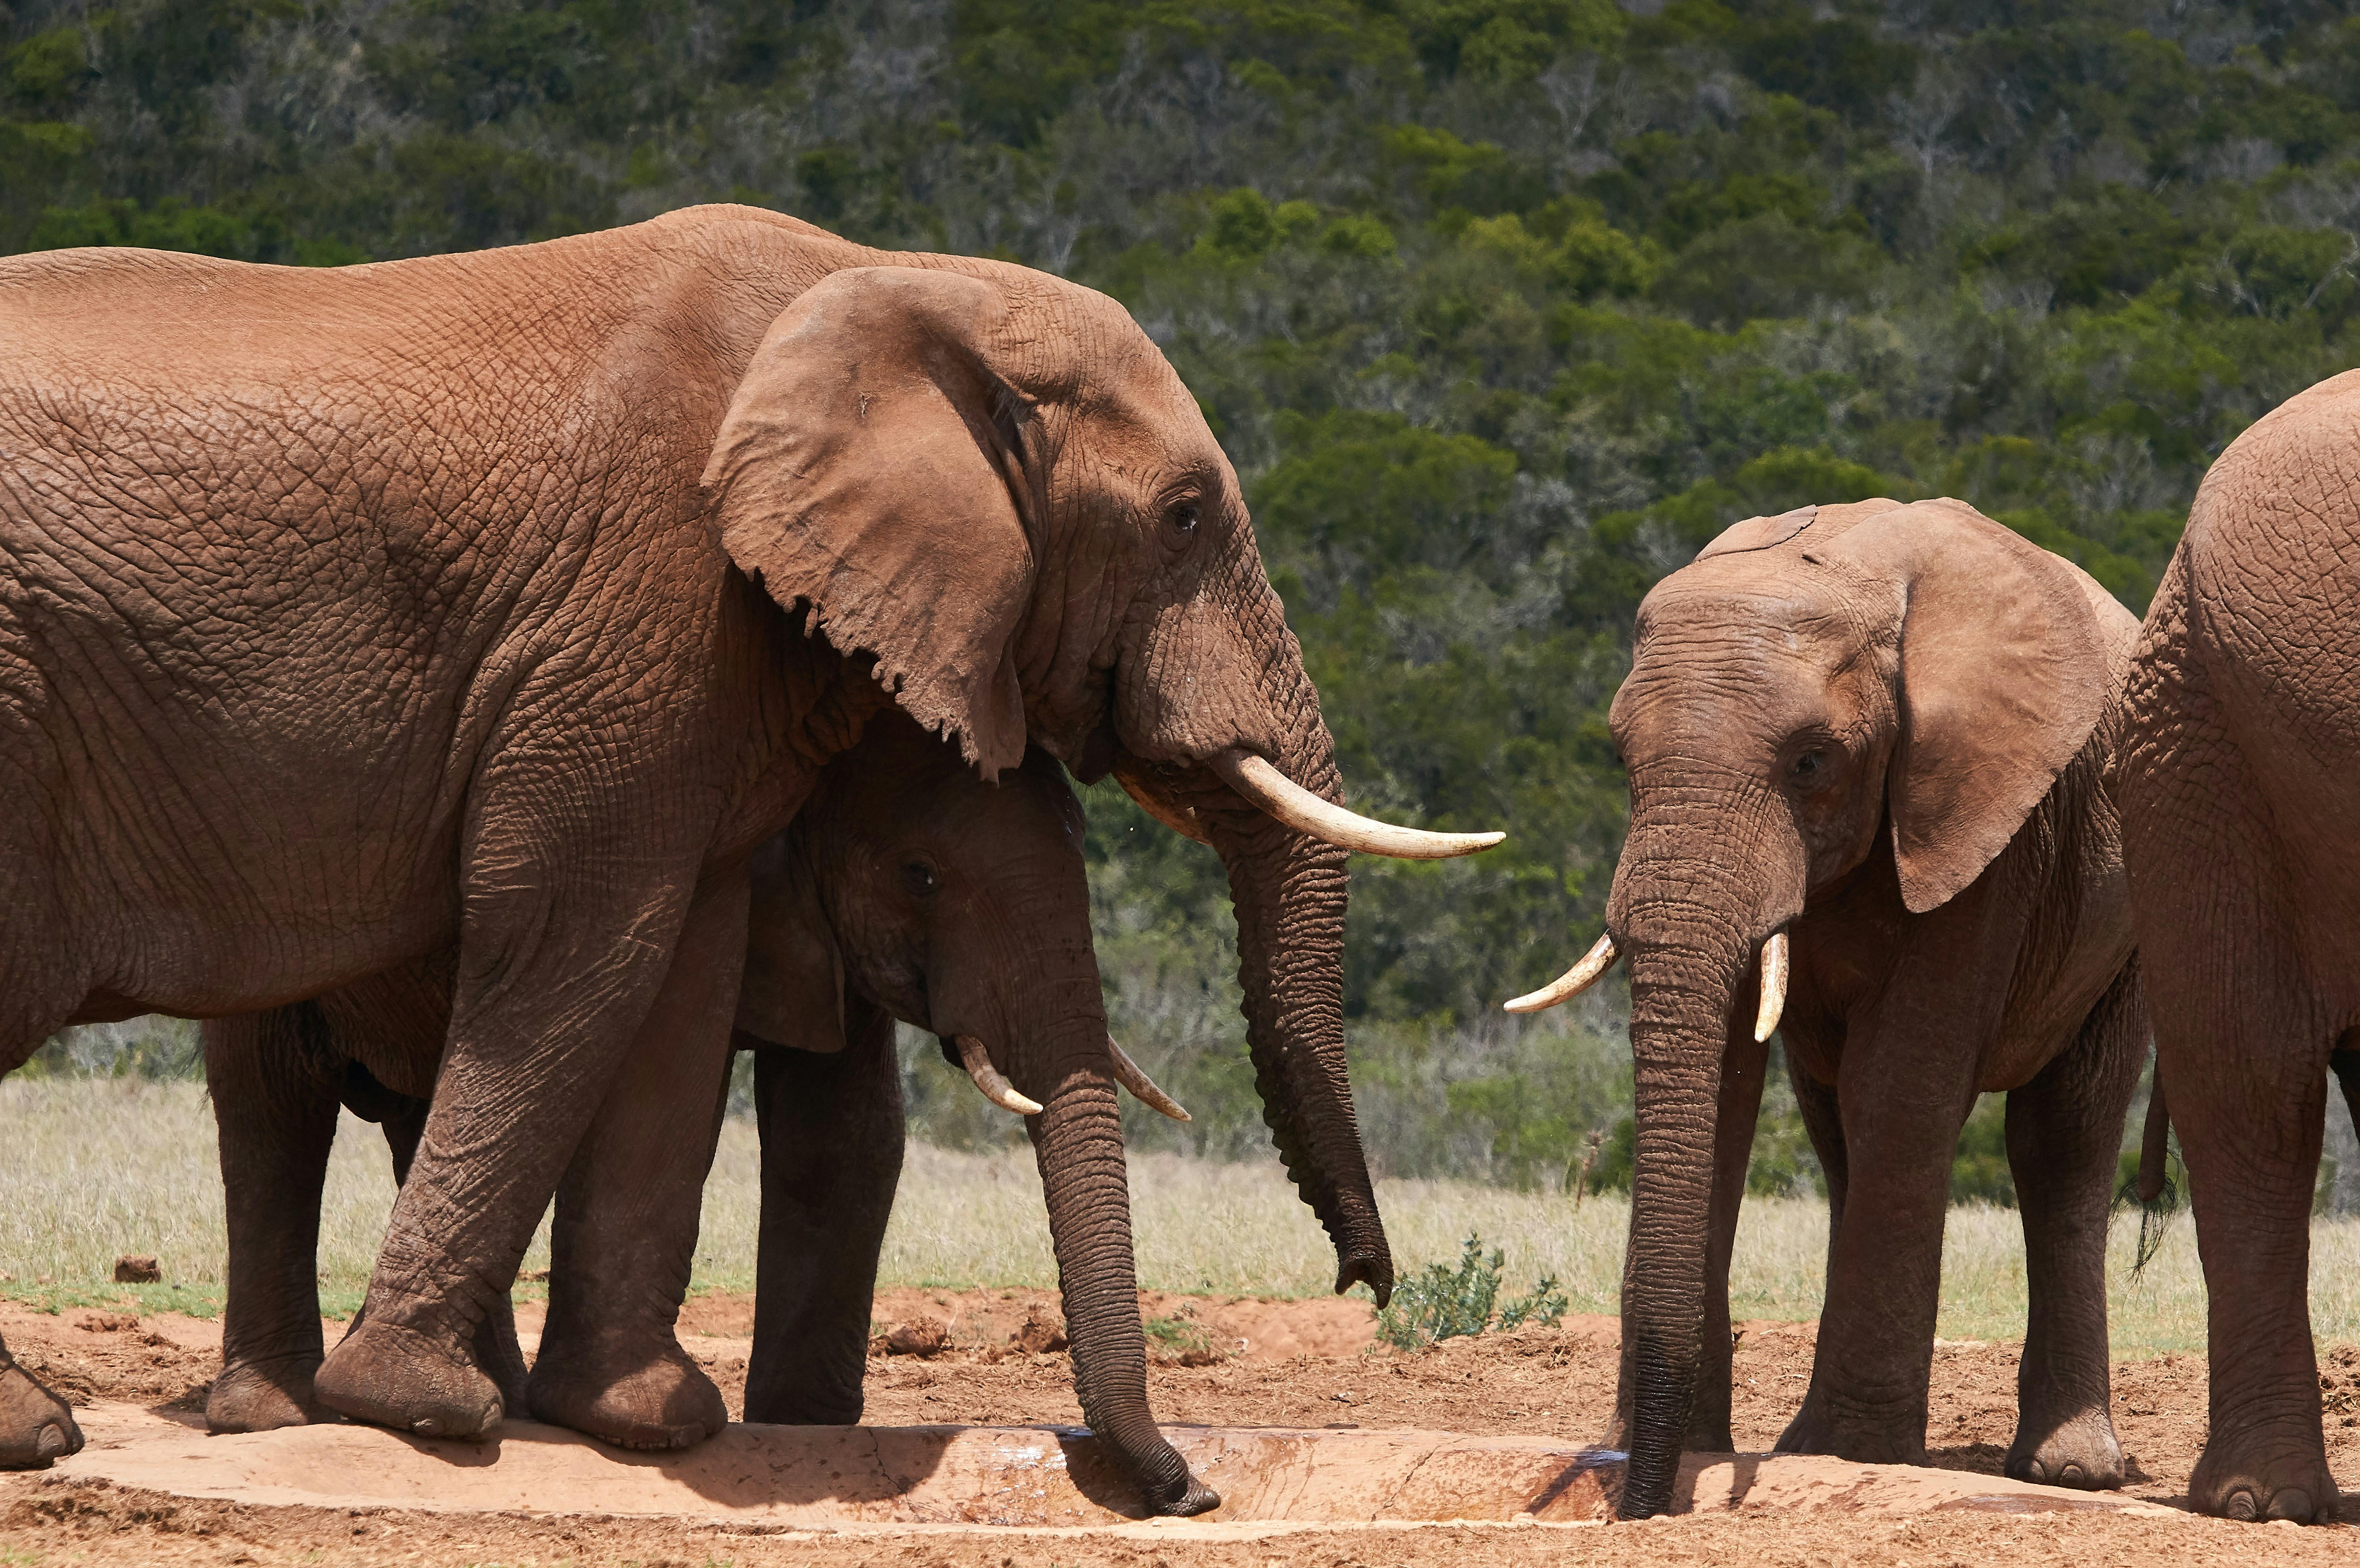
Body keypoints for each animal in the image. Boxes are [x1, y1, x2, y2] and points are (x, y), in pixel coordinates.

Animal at [200, 708, 1219, 1512]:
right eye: (921, 874)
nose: (1192, 1492)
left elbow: (848, 1136)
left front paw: (805, 1427)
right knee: (270, 1111)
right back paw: (272, 1413)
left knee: (420, 1113)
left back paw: (491, 1398)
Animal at [1508, 498, 2145, 1519]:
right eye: (1617, 755)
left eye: (1812, 760)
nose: (1635, 1503)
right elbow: (1728, 1093)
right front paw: (1699, 1445)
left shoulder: (1981, 822)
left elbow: (1903, 1086)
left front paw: (1856, 1452)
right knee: (1836, 1131)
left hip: (2127, 914)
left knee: (2062, 1138)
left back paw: (2067, 1468)